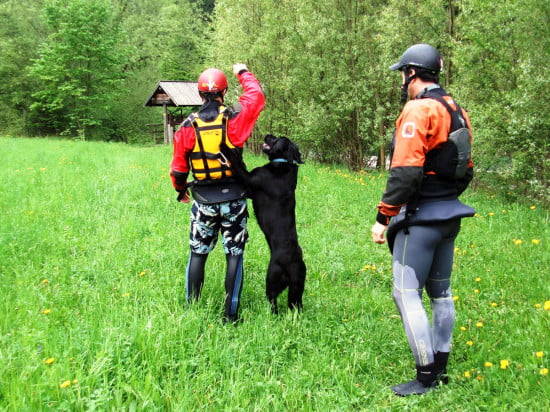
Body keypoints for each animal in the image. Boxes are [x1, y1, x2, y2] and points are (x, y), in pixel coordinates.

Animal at [222, 134, 308, 314]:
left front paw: (224, 147)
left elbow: (236, 163)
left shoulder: (249, 181)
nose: (267, 135)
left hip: (272, 279)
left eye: (277, 138)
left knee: (273, 302)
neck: (284, 163)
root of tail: (294, 265)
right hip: (297, 290)